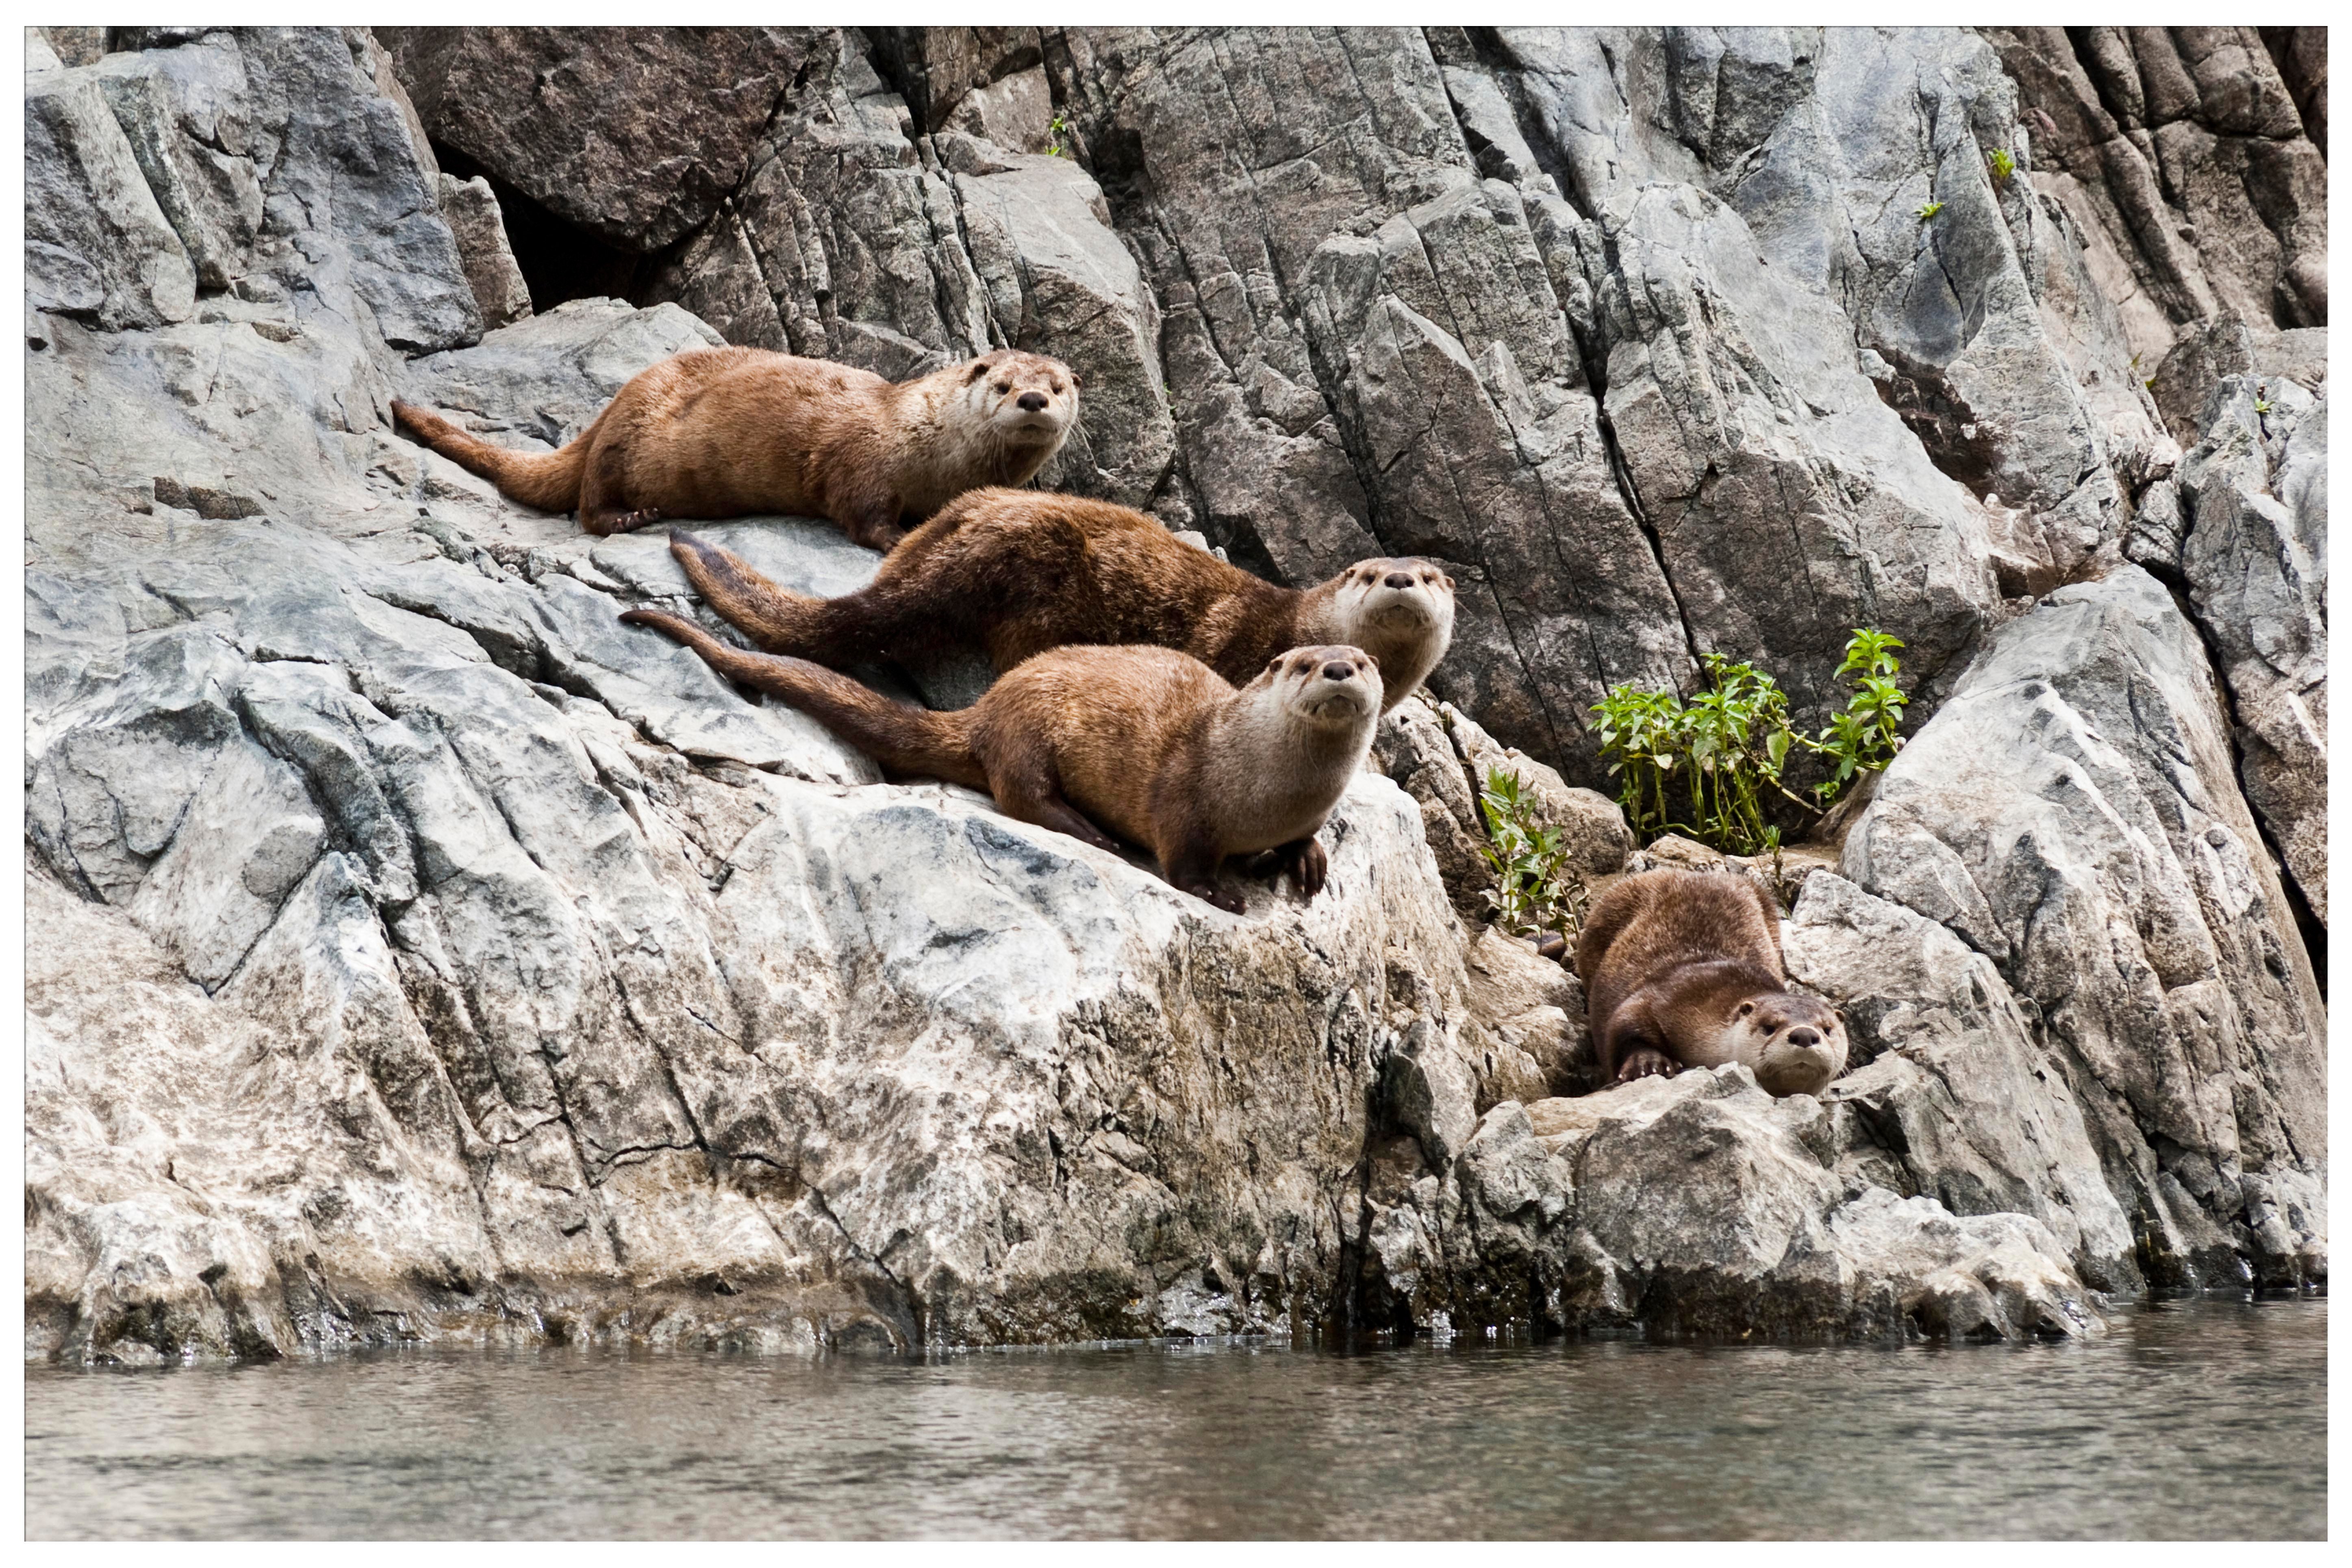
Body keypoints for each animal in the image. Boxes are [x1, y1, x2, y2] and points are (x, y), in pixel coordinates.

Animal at [390, 345, 1077, 550]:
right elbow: (859, 510)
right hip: (623, 440)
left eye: (1058, 385)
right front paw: (896, 537)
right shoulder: (862, 455)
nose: (1032, 400)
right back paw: (632, 518)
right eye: (1003, 383)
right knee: (587, 505)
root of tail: (610, 404)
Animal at [625, 606, 1383, 912]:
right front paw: (1220, 891)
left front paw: (1308, 858)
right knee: (1020, 795)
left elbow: (1304, 837)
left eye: (1364, 660)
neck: (1267, 791)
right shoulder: (1185, 798)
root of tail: (989, 703)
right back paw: (1091, 832)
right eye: (1304, 664)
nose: (1338, 669)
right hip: (1028, 731)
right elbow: (1182, 862)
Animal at [1571, 865, 1844, 1100]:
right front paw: (1648, 1064)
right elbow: (1624, 1024)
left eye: (1828, 1029)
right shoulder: (1669, 994)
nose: (1805, 1035)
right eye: (1769, 1027)